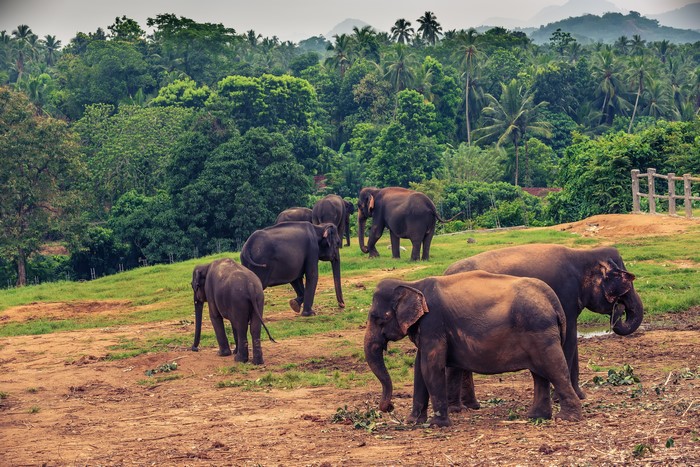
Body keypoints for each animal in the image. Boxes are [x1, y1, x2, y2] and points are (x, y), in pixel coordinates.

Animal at [364, 271, 582, 427]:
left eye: (378, 318)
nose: (388, 407)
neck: (413, 284)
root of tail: (552, 299)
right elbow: (419, 369)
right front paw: (413, 422)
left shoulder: (433, 323)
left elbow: (431, 367)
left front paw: (438, 425)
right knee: (540, 374)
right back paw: (537, 417)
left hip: (541, 332)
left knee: (553, 368)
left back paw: (567, 418)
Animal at [443, 244, 643, 409]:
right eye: (626, 285)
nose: (619, 307)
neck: (584, 254)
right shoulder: (566, 296)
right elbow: (568, 340)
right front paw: (563, 398)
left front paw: (580, 395)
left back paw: (472, 406)